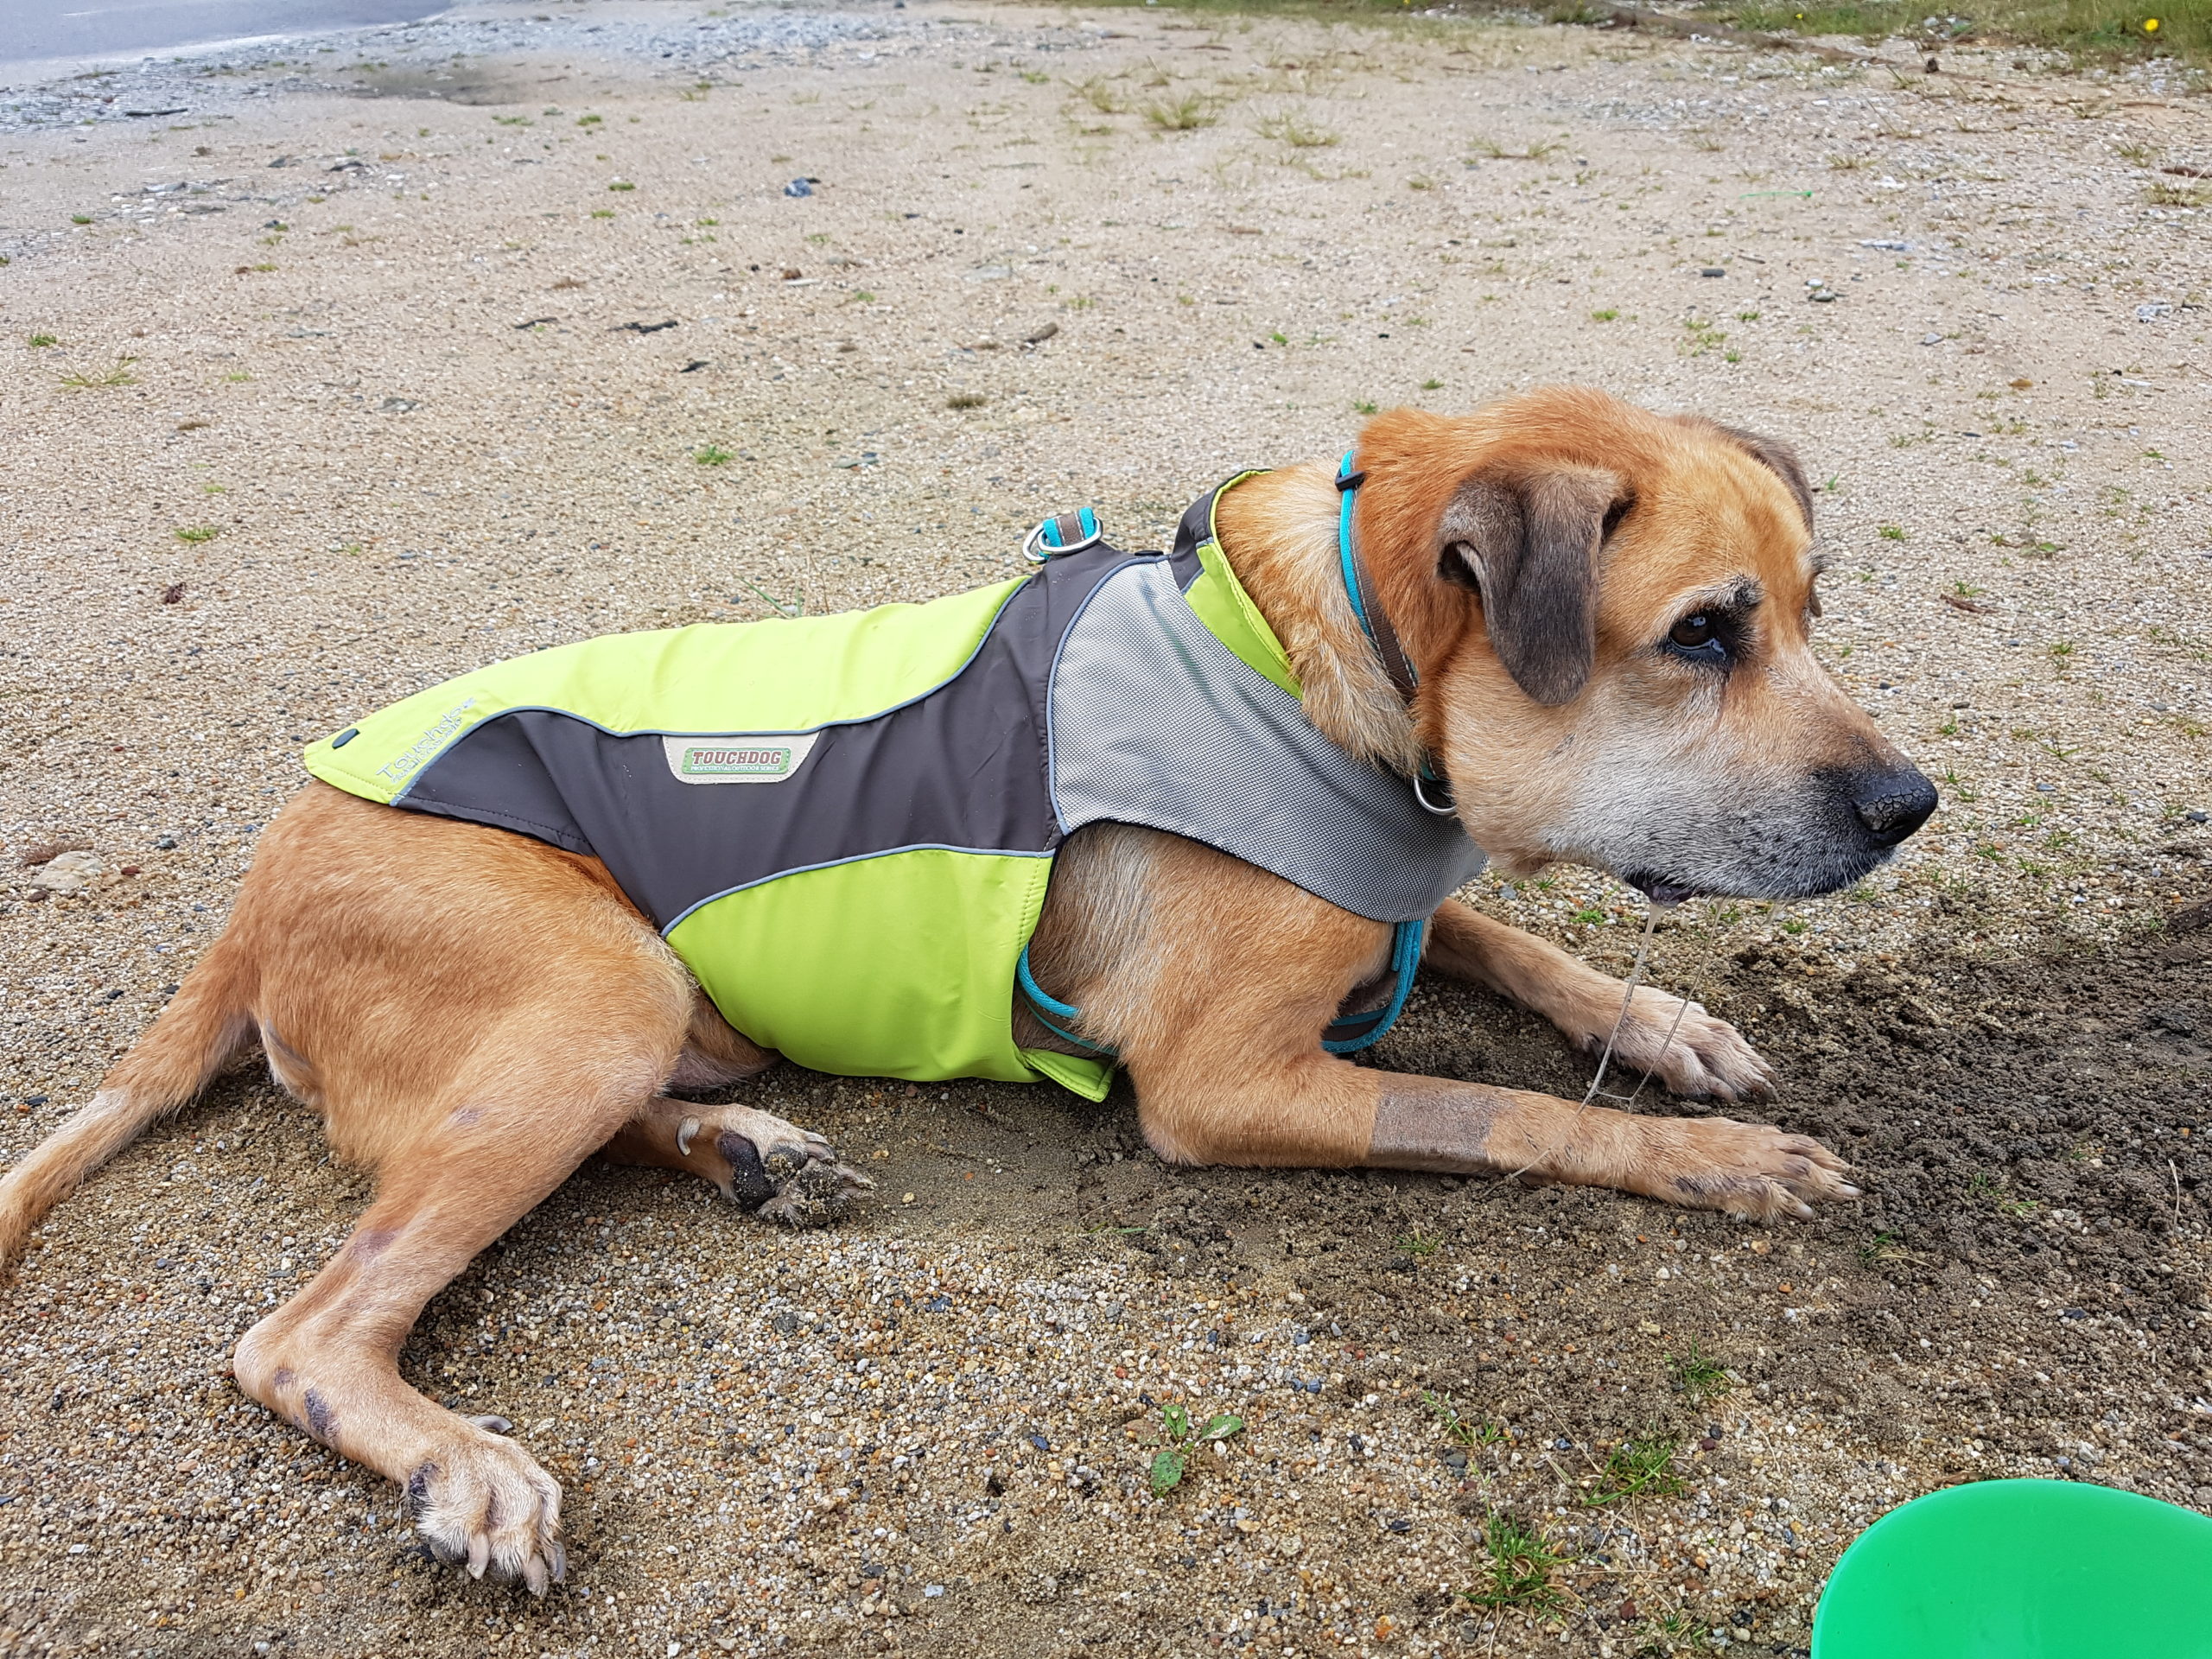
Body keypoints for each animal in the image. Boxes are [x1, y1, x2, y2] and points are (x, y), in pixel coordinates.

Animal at [0, 389, 1937, 1601]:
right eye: (1703, 633)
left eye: (1810, 610)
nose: (1908, 804)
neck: (1328, 656)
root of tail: (261, 880)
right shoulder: (1227, 1085)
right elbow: (1507, 1111)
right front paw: (1711, 1165)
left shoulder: (1388, 896)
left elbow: (1505, 945)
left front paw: (1662, 1028)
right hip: (590, 988)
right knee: (305, 1332)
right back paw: (465, 1462)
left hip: (616, 1013)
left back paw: (747, 1153)